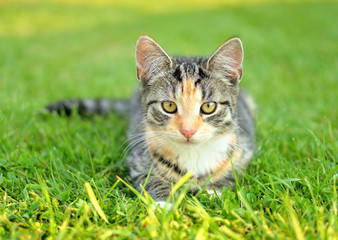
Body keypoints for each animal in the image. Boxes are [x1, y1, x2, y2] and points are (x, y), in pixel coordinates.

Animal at [45, 35, 256, 206]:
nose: (188, 131)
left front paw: (214, 191)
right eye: (169, 106)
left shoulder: (244, 146)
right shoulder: (138, 156)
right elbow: (149, 178)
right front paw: (164, 204)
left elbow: (234, 171)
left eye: (209, 107)